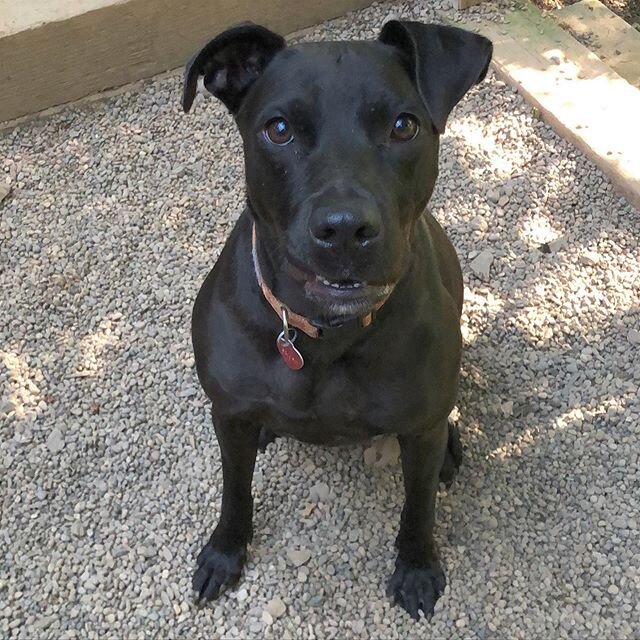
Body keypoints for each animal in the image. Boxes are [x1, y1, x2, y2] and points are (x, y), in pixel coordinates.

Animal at [182, 21, 492, 620]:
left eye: (403, 125)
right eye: (278, 129)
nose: (345, 228)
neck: (325, 336)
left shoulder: (419, 428)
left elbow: (417, 507)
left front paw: (417, 568)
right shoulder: (228, 414)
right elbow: (235, 490)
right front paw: (225, 552)